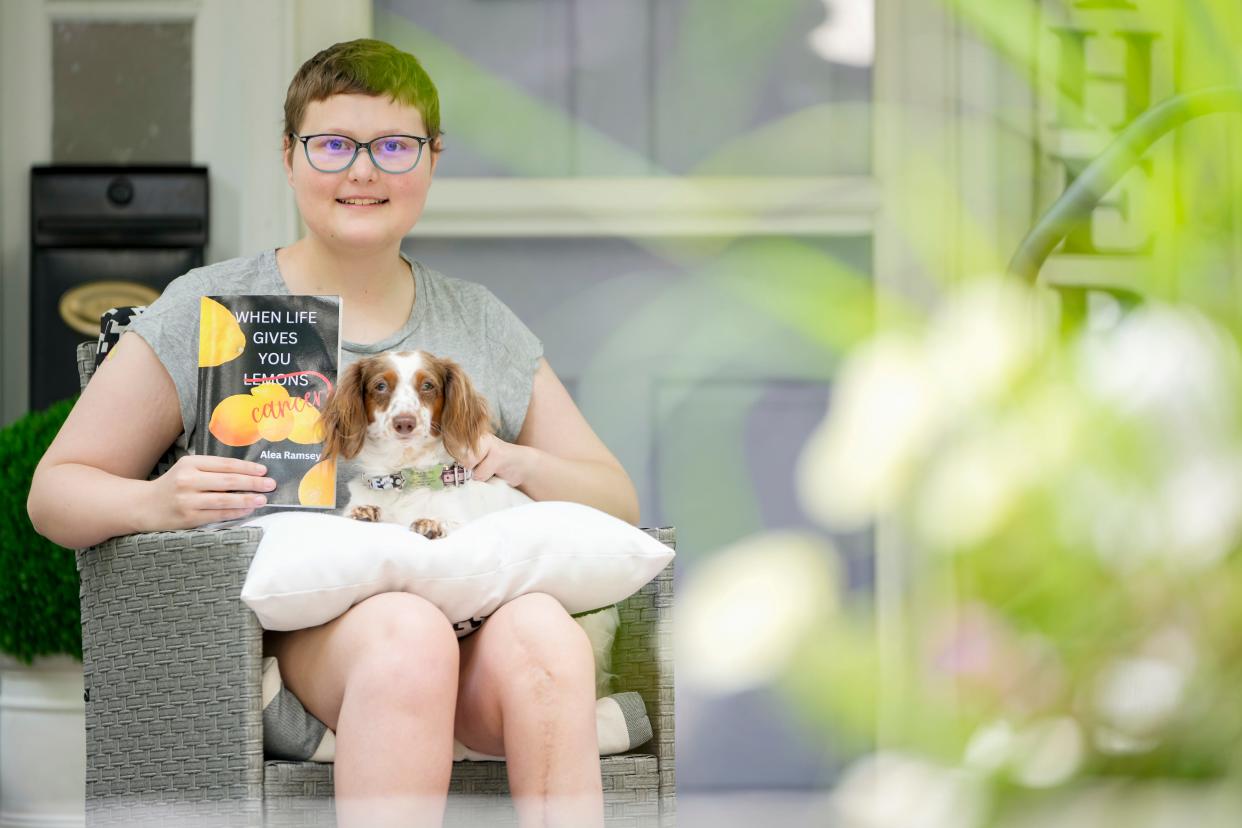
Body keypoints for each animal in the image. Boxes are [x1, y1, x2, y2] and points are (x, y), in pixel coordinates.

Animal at [317, 347, 531, 538]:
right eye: (380, 386)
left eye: (428, 385)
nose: (404, 423)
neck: (403, 475)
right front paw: (365, 511)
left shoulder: (460, 517)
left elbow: (450, 521)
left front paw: (433, 522)